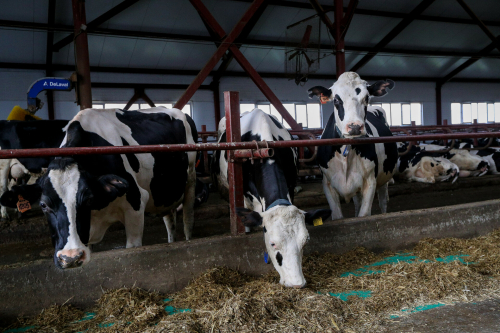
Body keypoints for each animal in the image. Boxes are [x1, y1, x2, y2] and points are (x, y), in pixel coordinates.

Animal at [0, 107, 198, 268]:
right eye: (43, 205)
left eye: (88, 199)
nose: (70, 258)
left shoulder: (136, 203)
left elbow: (132, 250)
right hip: (165, 191)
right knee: (169, 219)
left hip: (190, 179)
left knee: (188, 220)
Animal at [308, 71, 398, 219]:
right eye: (336, 100)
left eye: (366, 98)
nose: (354, 126)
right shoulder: (327, 184)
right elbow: (338, 216)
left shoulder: (370, 181)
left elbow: (363, 214)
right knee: (357, 202)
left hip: (384, 175)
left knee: (383, 201)